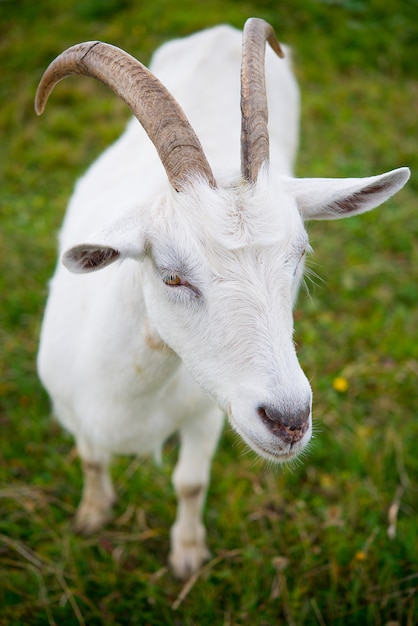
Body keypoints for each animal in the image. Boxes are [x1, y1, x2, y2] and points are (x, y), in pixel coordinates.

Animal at [35, 18, 408, 576]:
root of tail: (219, 31)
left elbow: (190, 483)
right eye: (171, 277)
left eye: (299, 256)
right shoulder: (69, 408)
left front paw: (188, 555)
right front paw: (92, 516)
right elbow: (92, 457)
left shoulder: (208, 413)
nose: (289, 421)